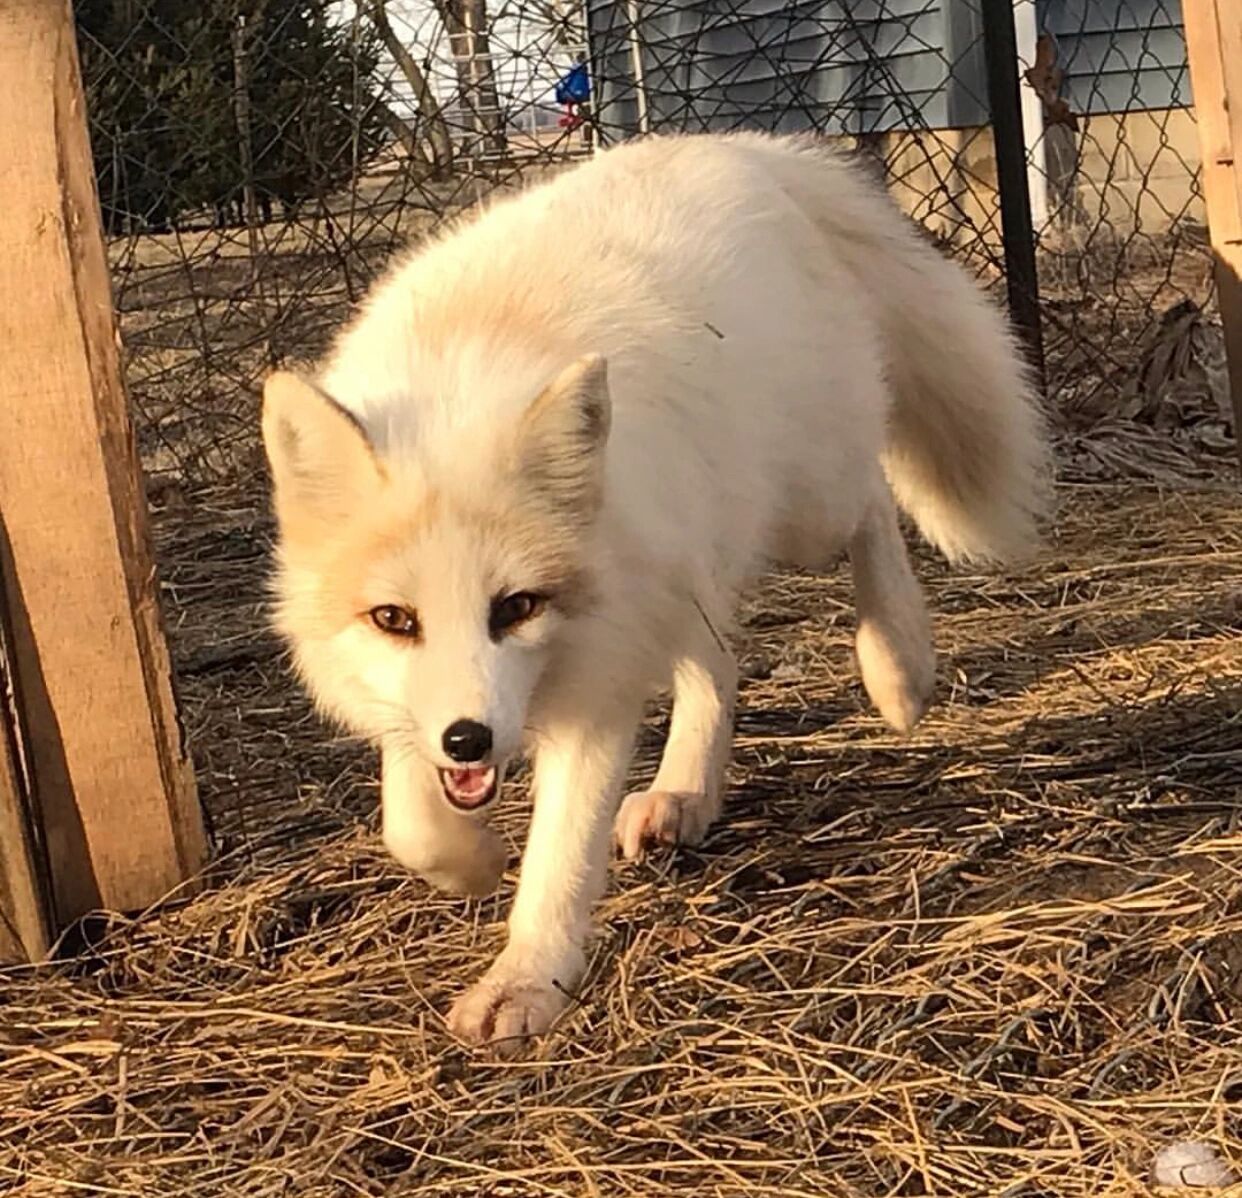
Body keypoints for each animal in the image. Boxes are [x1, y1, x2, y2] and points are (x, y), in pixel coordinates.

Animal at [261, 132, 1048, 1052]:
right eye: (395, 619)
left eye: (516, 607)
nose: (468, 740)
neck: (462, 384)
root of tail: (748, 150)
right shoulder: (420, 694)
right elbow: (409, 822)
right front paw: (472, 860)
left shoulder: (601, 682)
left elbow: (561, 859)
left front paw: (528, 980)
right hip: (684, 568)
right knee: (719, 666)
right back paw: (685, 793)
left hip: (804, 507)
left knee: (871, 504)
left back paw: (898, 670)